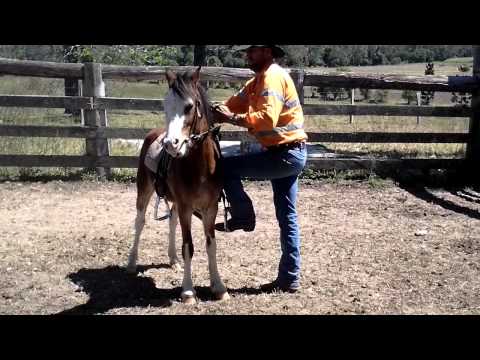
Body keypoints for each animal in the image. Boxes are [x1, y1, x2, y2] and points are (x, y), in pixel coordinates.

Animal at [127, 67, 229, 304]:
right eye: (165, 105)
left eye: (189, 106)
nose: (170, 144)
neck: (201, 167)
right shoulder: (186, 207)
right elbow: (188, 246)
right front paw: (188, 291)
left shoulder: (210, 208)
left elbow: (211, 245)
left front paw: (218, 286)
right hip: (144, 190)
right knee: (140, 222)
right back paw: (131, 263)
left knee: (171, 221)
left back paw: (173, 260)